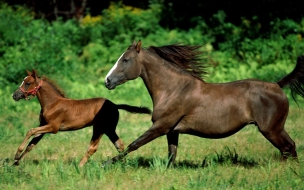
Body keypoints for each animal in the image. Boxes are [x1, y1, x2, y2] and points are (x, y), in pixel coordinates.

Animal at [11, 70, 151, 166]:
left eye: (27, 83)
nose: (15, 95)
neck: (52, 103)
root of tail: (114, 105)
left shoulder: (53, 127)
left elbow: (31, 131)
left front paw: (17, 154)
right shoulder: (44, 126)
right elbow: (31, 145)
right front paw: (16, 162)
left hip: (99, 127)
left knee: (93, 147)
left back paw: (79, 166)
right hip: (109, 129)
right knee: (119, 144)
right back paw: (124, 163)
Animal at [104, 40, 304, 165]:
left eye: (126, 60)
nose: (107, 81)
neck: (173, 89)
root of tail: (278, 85)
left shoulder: (161, 126)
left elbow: (134, 144)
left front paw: (106, 163)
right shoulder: (172, 131)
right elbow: (171, 155)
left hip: (271, 129)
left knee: (288, 147)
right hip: (276, 129)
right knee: (290, 147)